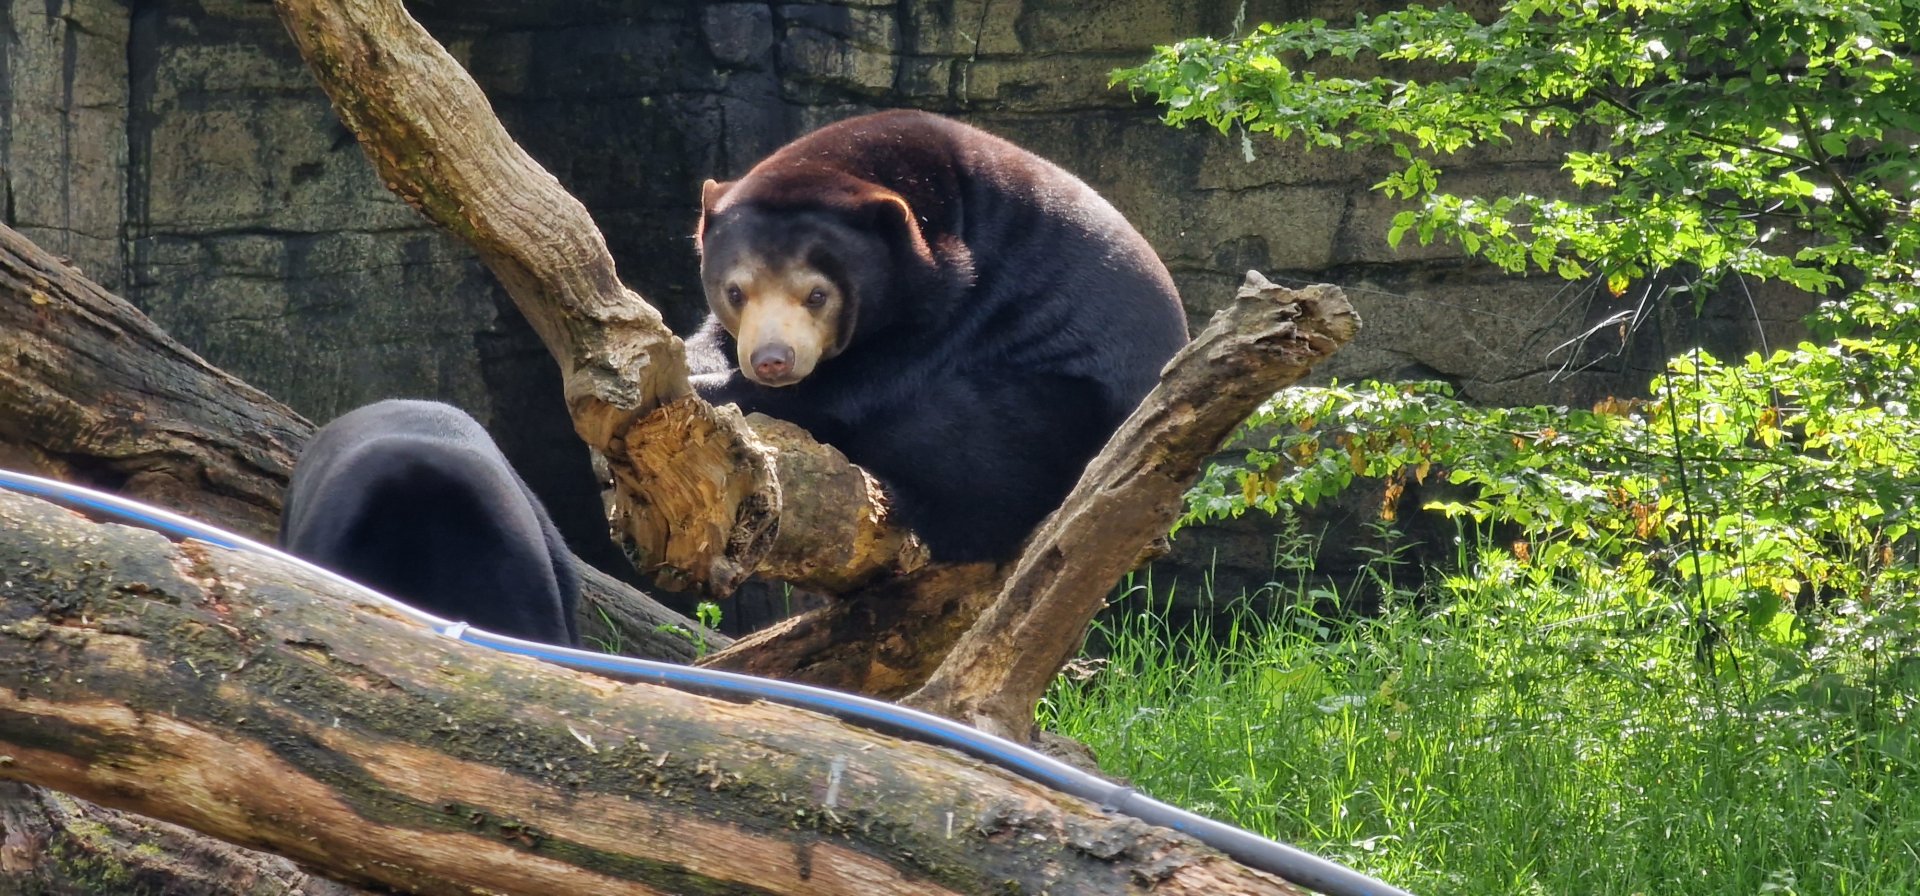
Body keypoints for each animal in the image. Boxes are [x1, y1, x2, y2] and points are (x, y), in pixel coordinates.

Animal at [691, 110, 1189, 562]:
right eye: (736, 291)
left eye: (817, 295)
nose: (773, 360)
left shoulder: (949, 309)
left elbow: (844, 393)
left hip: (1069, 408)